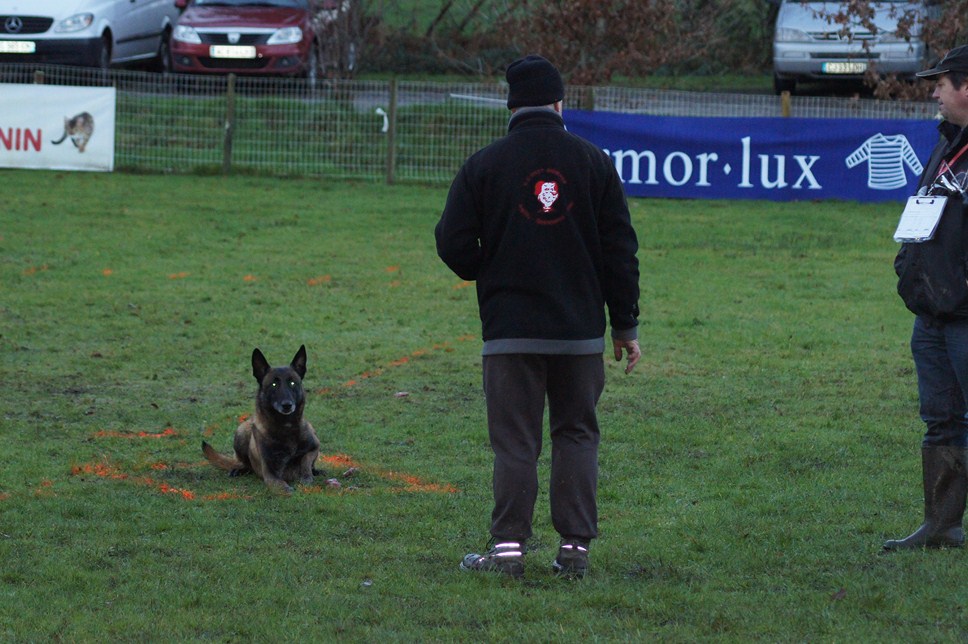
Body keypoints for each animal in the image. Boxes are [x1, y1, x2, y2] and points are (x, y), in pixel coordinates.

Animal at [200, 348, 322, 494]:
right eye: (274, 384)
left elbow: (306, 463)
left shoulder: (314, 447)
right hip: (241, 431)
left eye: (292, 383)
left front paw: (307, 476)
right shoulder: (270, 473)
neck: (286, 426)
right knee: (245, 463)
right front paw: (290, 490)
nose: (287, 405)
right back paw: (239, 469)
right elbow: (282, 485)